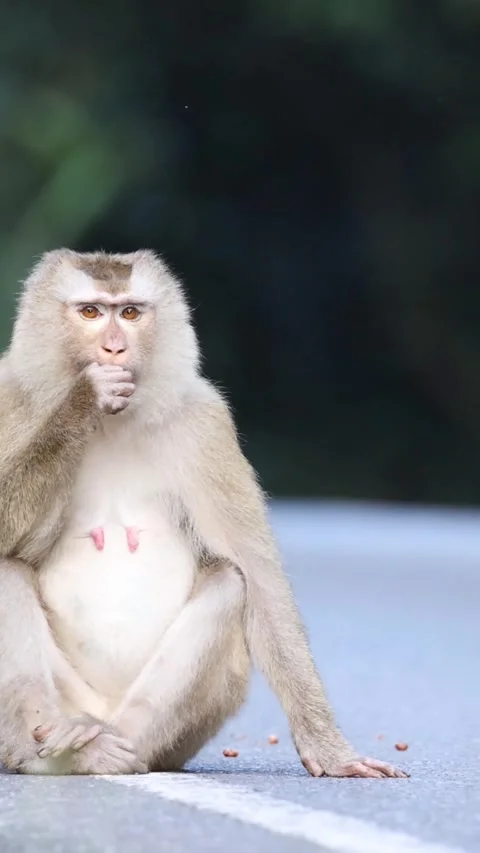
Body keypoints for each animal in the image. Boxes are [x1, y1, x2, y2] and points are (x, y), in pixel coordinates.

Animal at [0, 249, 407, 778]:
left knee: (231, 583)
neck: (112, 425)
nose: (114, 348)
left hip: (175, 737)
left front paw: (330, 749)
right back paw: (46, 750)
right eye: (90, 312)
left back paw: (111, 750)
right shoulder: (8, 399)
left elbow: (259, 580)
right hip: (67, 701)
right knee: (6, 572)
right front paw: (84, 398)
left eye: (130, 313)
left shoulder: (205, 424)